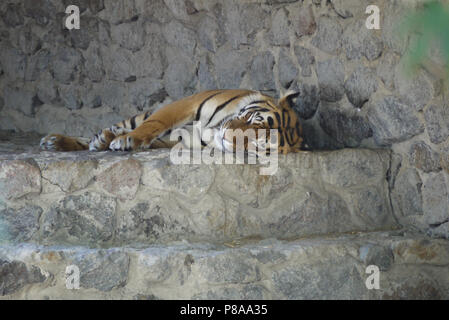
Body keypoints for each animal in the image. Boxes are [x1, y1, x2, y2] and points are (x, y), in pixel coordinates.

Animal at [40, 89, 302, 156]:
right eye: (250, 118)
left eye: (255, 144)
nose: (227, 138)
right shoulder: (186, 104)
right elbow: (155, 123)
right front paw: (128, 139)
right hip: (138, 116)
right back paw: (56, 141)